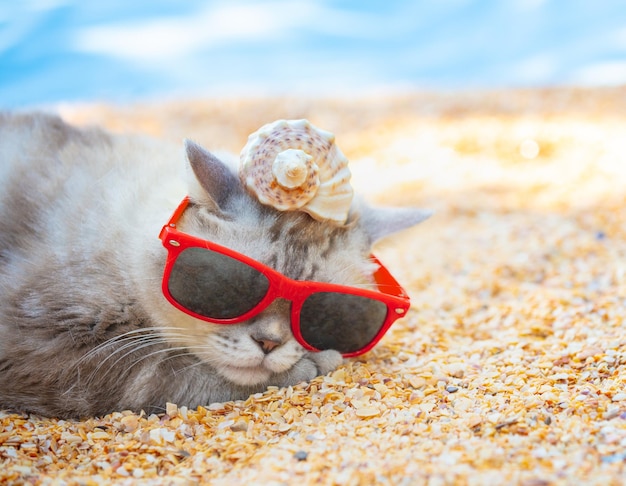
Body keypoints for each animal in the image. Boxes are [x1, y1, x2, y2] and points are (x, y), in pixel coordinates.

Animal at [0, 113, 428, 418]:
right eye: (229, 286)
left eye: (326, 315)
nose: (269, 343)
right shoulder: (46, 344)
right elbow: (178, 376)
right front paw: (316, 364)